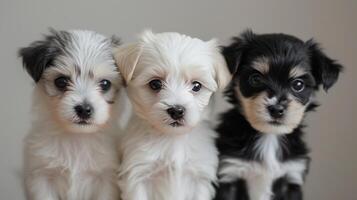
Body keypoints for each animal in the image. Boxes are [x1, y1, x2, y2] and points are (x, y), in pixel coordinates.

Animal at [19, 28, 122, 199]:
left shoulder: (106, 178)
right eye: (61, 82)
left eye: (105, 84)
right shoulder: (42, 176)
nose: (84, 109)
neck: (76, 137)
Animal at [114, 30, 231, 200]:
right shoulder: (138, 173)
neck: (172, 138)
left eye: (197, 86)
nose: (176, 110)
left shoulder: (200, 176)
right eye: (155, 84)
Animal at [214, 30, 342, 200]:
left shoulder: (292, 176)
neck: (269, 136)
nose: (276, 109)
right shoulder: (229, 173)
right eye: (255, 79)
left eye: (298, 84)